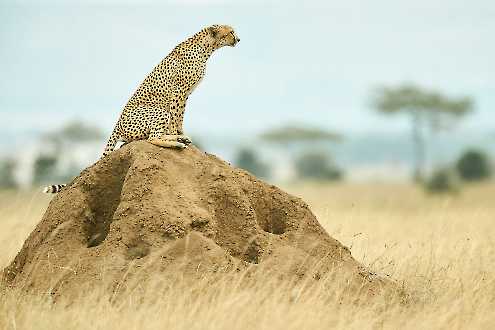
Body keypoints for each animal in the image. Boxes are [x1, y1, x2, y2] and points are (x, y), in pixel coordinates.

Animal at [43, 24, 241, 193]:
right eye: (231, 31)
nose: (238, 39)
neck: (206, 48)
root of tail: (118, 124)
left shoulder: (186, 94)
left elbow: (180, 115)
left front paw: (180, 133)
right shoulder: (179, 91)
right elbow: (176, 115)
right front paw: (178, 133)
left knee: (143, 138)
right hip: (158, 112)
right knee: (152, 138)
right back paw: (177, 141)